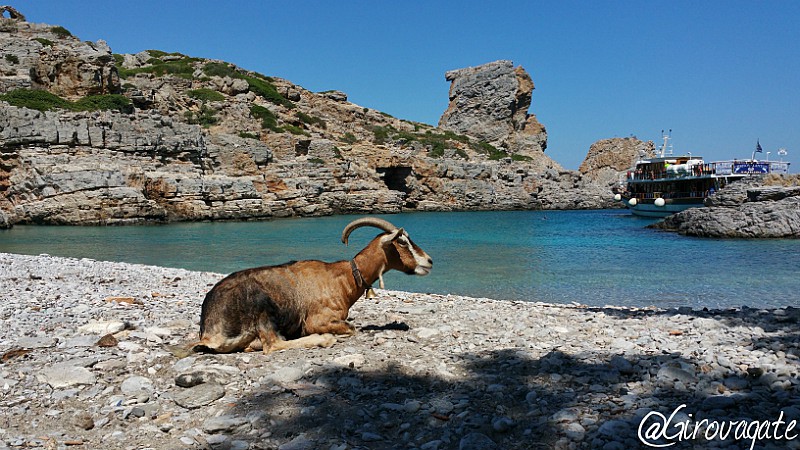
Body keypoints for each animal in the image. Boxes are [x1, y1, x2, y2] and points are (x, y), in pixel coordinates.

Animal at [191, 216, 432, 354]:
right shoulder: (319, 319)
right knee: (273, 344)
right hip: (262, 309)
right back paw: (322, 339)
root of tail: (209, 331)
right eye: (402, 241)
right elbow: (351, 328)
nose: (429, 261)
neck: (342, 278)